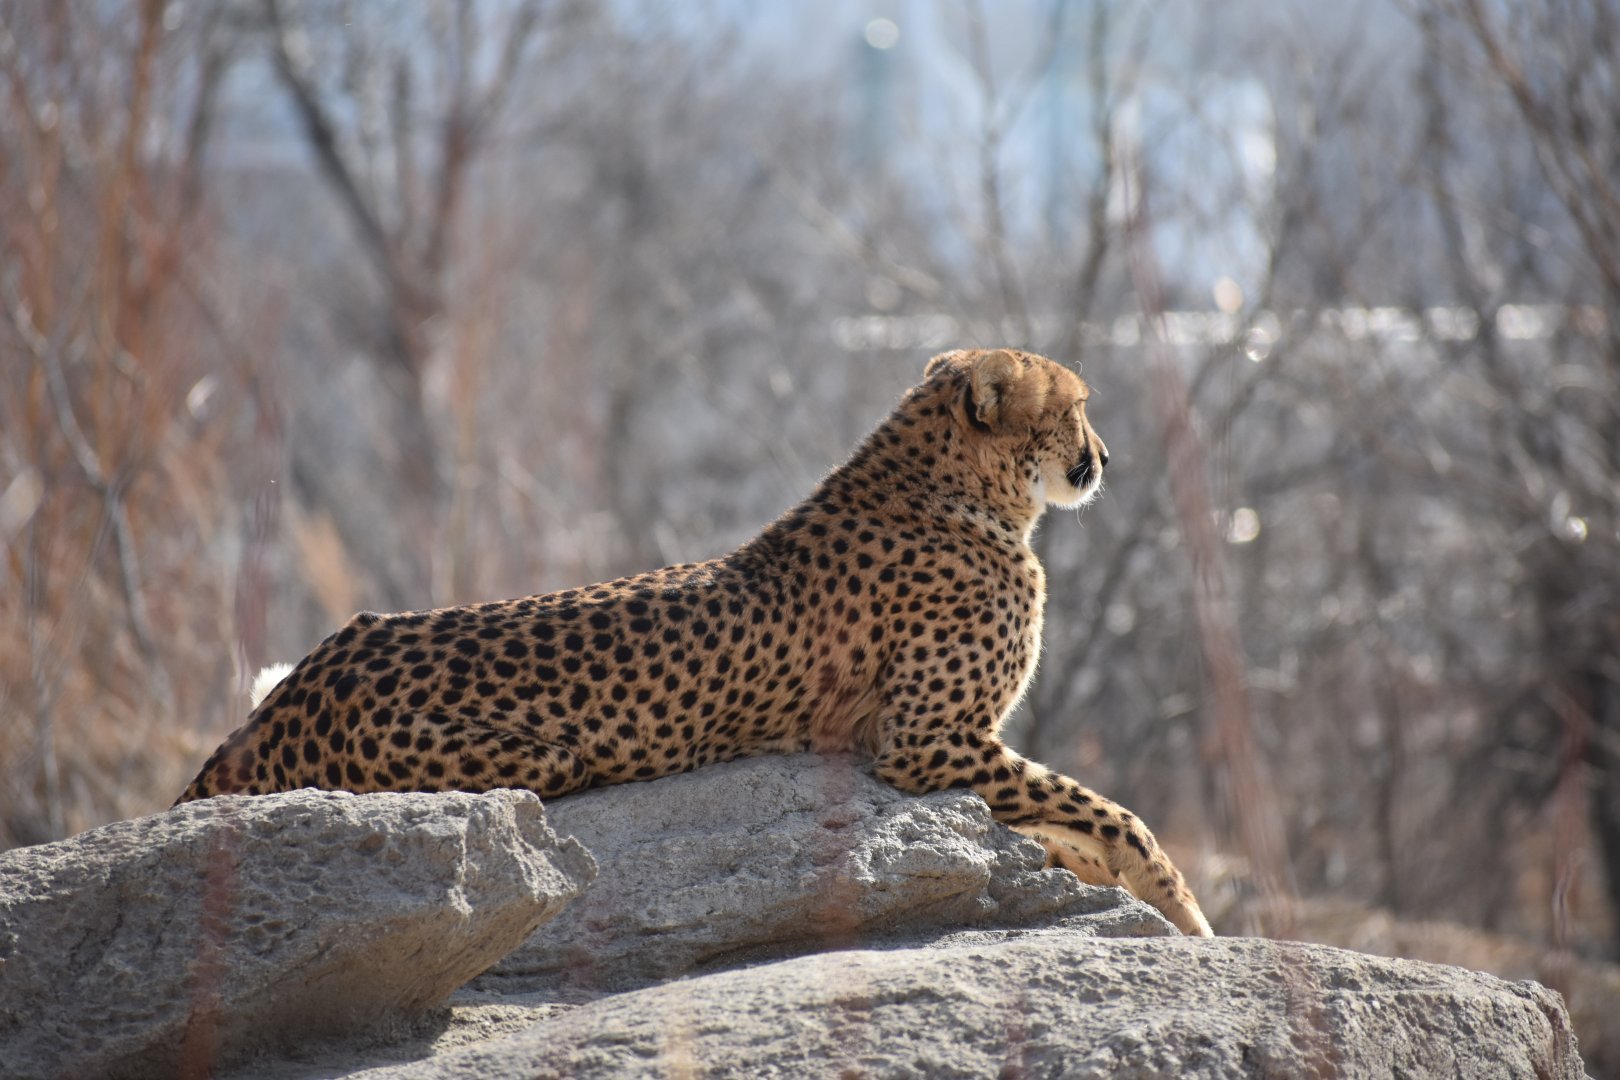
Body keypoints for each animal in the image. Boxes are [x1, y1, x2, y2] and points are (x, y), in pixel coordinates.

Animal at [176, 348, 1214, 936]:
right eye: (1074, 407)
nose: (1105, 457)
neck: (957, 488)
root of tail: (311, 674)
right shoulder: (922, 745)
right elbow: (1112, 812)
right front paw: (1183, 909)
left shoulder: (931, 746)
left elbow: (1071, 814)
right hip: (537, 756)